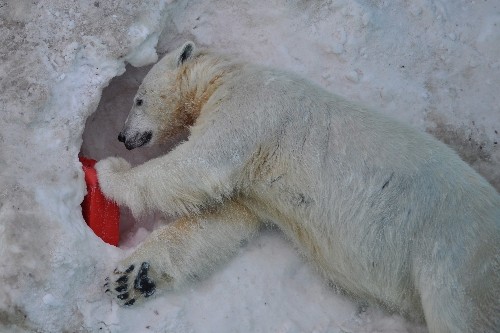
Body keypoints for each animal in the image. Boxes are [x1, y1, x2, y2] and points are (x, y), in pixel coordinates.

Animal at [95, 41, 498, 332]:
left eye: (139, 99)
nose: (122, 137)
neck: (224, 77)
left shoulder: (252, 108)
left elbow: (201, 163)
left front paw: (108, 171)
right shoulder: (252, 184)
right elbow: (219, 221)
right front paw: (130, 279)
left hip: (457, 255)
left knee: (461, 309)